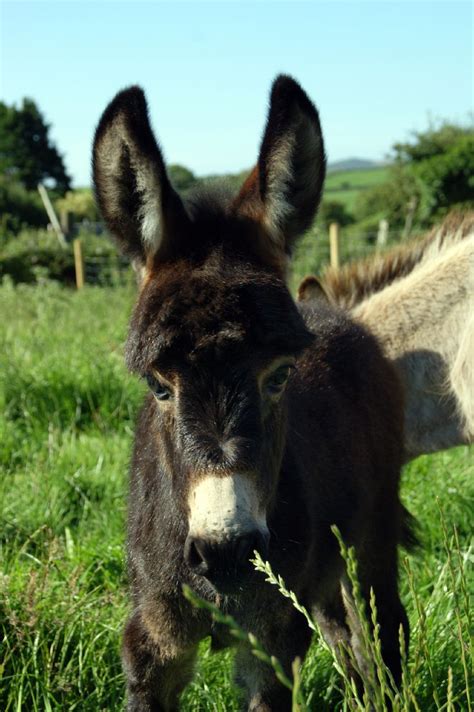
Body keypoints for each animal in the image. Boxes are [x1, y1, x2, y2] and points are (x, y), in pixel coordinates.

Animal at [93, 75, 412, 708]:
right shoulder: (153, 640)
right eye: (157, 386)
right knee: (342, 628)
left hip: (374, 525)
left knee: (383, 624)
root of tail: (332, 308)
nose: (226, 553)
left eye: (281, 375)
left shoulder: (271, 645)